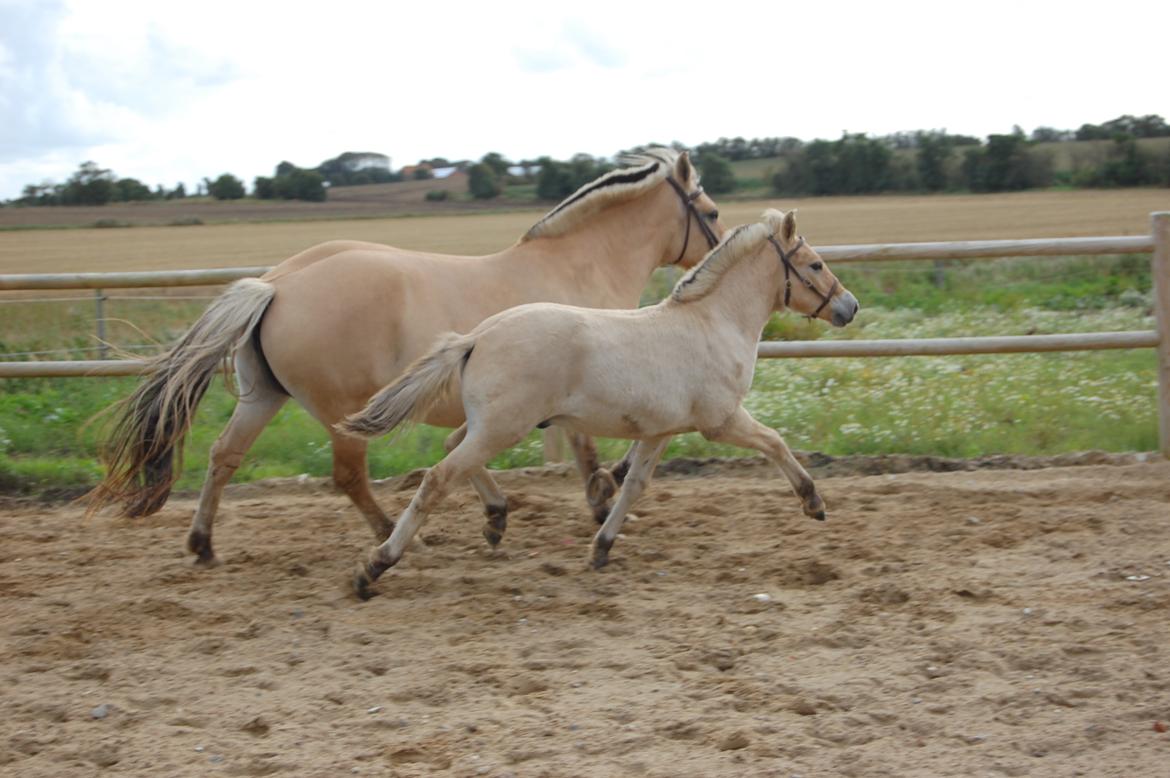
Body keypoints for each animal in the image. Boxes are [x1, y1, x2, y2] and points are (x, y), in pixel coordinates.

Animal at [91, 149, 725, 563]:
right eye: (713, 213)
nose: (716, 254)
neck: (579, 266)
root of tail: (276, 285)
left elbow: (467, 454)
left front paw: (503, 514)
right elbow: (591, 452)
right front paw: (601, 499)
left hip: (263, 396)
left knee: (224, 455)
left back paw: (202, 545)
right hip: (341, 411)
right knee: (347, 477)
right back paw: (391, 539)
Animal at [339, 209, 861, 596]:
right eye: (815, 265)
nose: (849, 306)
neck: (714, 322)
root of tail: (476, 337)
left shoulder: (660, 432)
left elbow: (634, 487)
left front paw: (602, 547)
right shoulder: (721, 420)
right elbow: (774, 442)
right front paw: (814, 503)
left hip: (488, 425)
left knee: (451, 450)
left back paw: (494, 521)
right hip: (502, 427)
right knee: (437, 477)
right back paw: (375, 567)